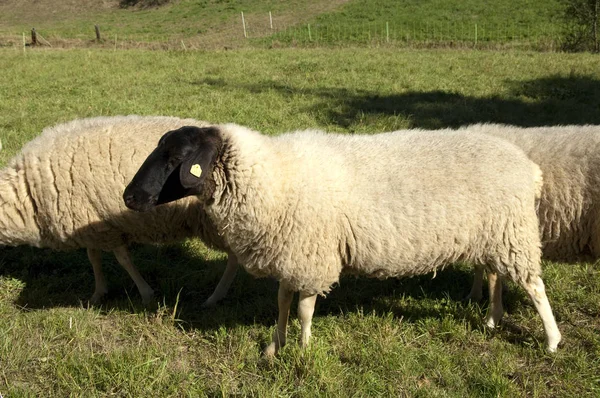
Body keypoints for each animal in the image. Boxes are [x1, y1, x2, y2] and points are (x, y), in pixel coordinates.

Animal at [0, 115, 239, 304]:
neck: (26, 193)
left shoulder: (108, 228)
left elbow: (123, 260)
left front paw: (145, 293)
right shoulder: (91, 223)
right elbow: (93, 257)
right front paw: (98, 293)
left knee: (234, 257)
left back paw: (216, 296)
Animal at [123, 123, 564, 352]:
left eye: (176, 158)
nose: (129, 197)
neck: (271, 178)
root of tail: (529, 168)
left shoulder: (311, 255)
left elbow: (303, 309)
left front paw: (303, 350)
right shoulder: (290, 255)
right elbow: (282, 302)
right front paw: (275, 345)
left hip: (512, 231)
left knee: (534, 286)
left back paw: (552, 339)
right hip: (494, 235)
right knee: (496, 276)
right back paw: (492, 320)